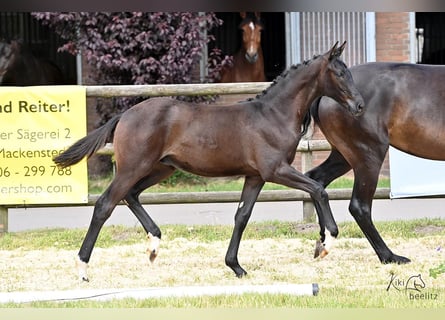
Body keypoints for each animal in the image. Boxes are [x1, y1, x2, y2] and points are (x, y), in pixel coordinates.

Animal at [54, 42, 364, 280]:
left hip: (159, 169)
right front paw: (326, 242)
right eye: (339, 73)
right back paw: (83, 268)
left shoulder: (255, 176)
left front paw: (236, 266)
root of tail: (124, 116)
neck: (273, 115)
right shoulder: (275, 170)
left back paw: (154, 245)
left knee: (131, 195)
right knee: (105, 204)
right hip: (134, 167)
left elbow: (242, 216)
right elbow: (318, 189)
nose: (359, 106)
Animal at [306, 62, 445, 264]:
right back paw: (390, 256)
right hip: (368, 156)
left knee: (316, 180)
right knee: (359, 206)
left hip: (343, 155)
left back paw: (325, 241)